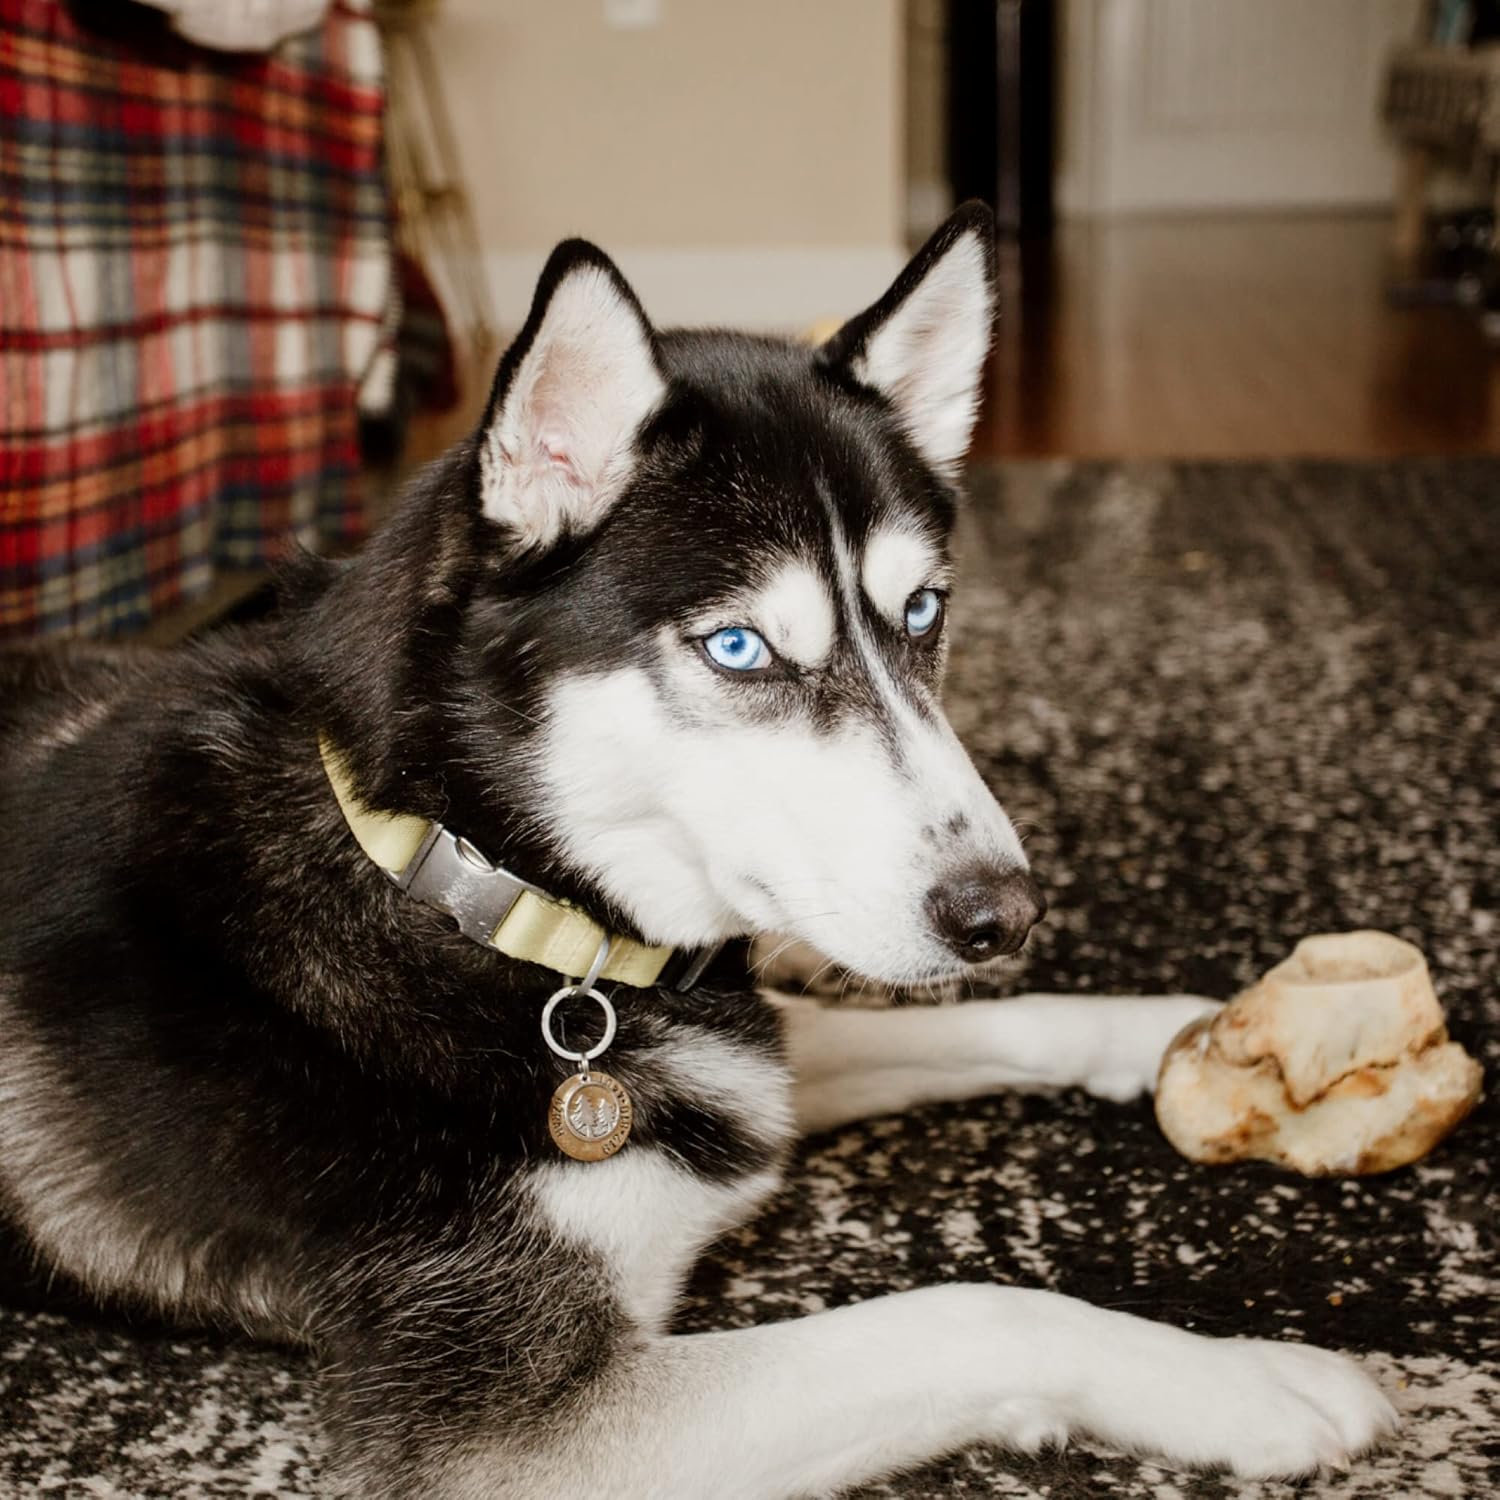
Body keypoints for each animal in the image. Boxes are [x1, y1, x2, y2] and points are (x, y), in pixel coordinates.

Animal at [0, 205, 1392, 1494]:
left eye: (923, 612)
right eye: (740, 648)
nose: (1003, 912)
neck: (467, 884)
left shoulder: (745, 1058)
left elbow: (991, 1022)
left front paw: (1181, 1030)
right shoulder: (510, 1421)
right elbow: (964, 1312)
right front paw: (1239, 1381)